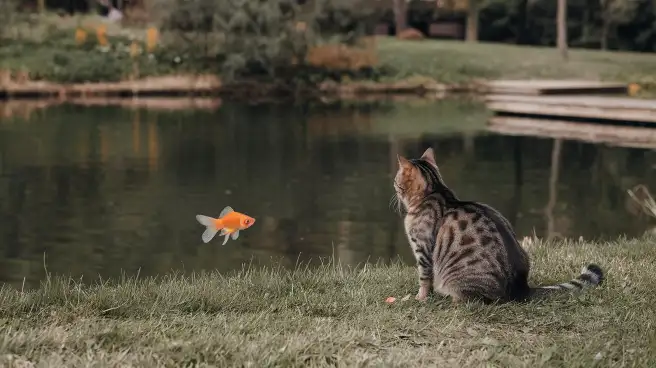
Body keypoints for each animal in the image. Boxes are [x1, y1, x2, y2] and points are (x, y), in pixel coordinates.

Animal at [390, 147, 604, 304]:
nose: (393, 186)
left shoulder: (423, 249)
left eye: (396, 181)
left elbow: (424, 278)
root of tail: (521, 289)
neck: (434, 192)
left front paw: (420, 298)